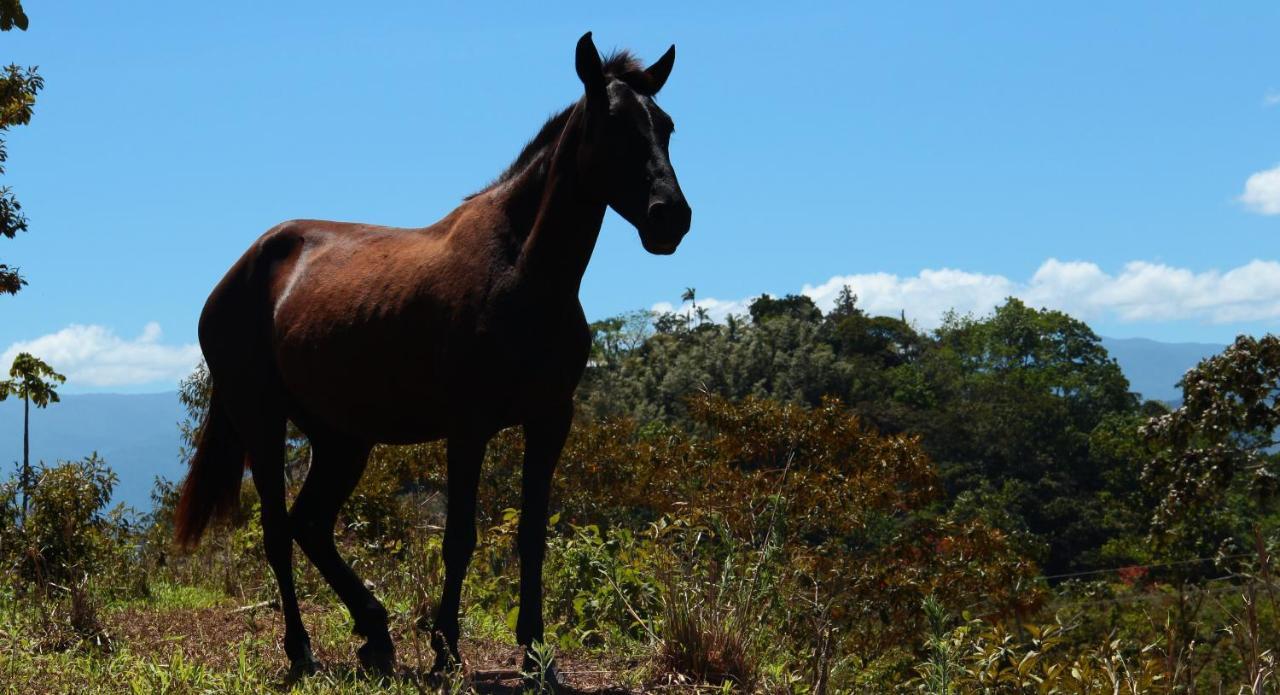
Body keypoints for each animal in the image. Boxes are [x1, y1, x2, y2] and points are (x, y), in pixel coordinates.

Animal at [172, 32, 691, 686]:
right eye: (612, 124)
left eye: (666, 126)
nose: (670, 216)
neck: (524, 271)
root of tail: (237, 275)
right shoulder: (468, 427)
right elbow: (459, 537)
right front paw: (446, 648)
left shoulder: (551, 420)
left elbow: (532, 536)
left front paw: (535, 653)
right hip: (261, 420)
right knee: (276, 533)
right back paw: (302, 650)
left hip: (342, 438)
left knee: (310, 524)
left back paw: (375, 632)